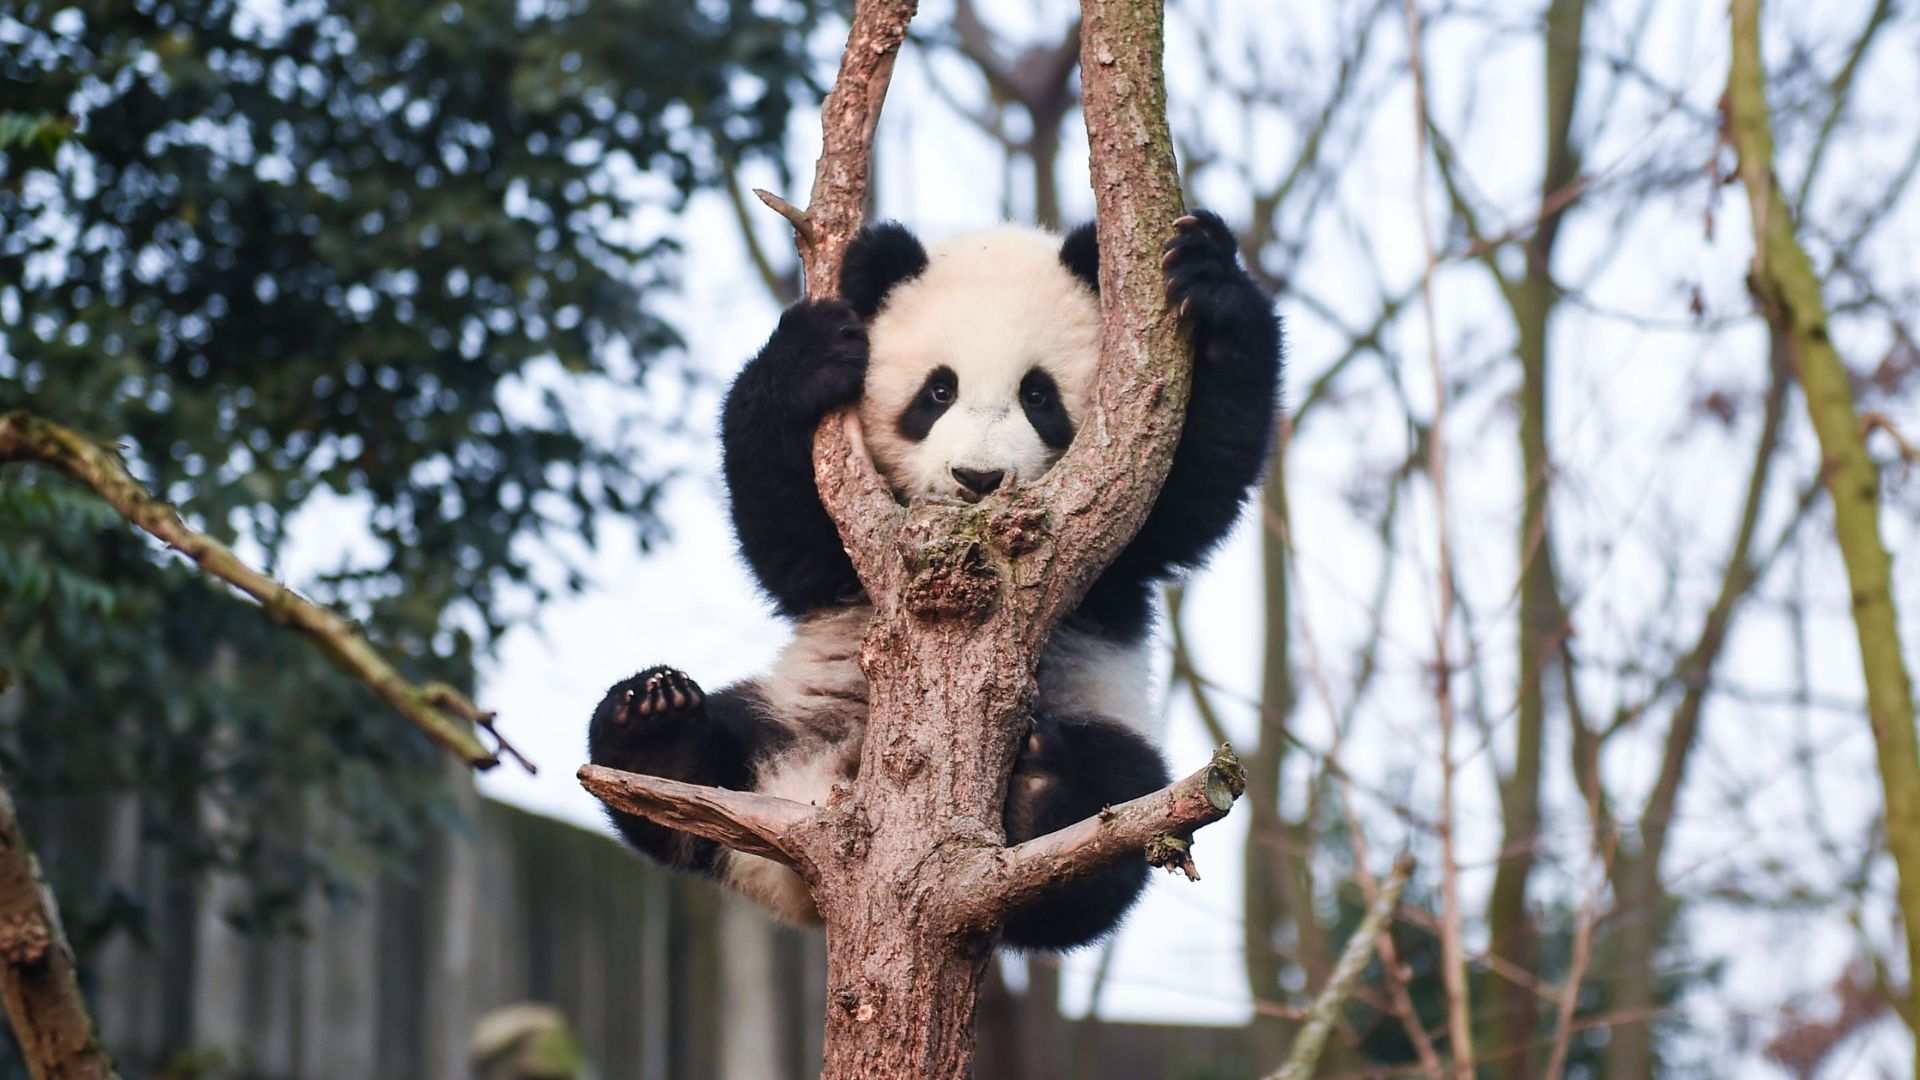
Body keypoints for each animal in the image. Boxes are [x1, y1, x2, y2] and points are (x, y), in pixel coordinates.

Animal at [579, 205, 1274, 945]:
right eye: (938, 391)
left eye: (1038, 395)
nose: (978, 478)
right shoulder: (849, 547)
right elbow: (785, 538)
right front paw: (808, 355)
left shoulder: (1120, 540)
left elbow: (1194, 491)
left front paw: (1208, 277)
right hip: (790, 712)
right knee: (699, 765)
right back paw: (656, 729)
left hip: (1106, 723)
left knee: (1112, 815)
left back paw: (1045, 792)